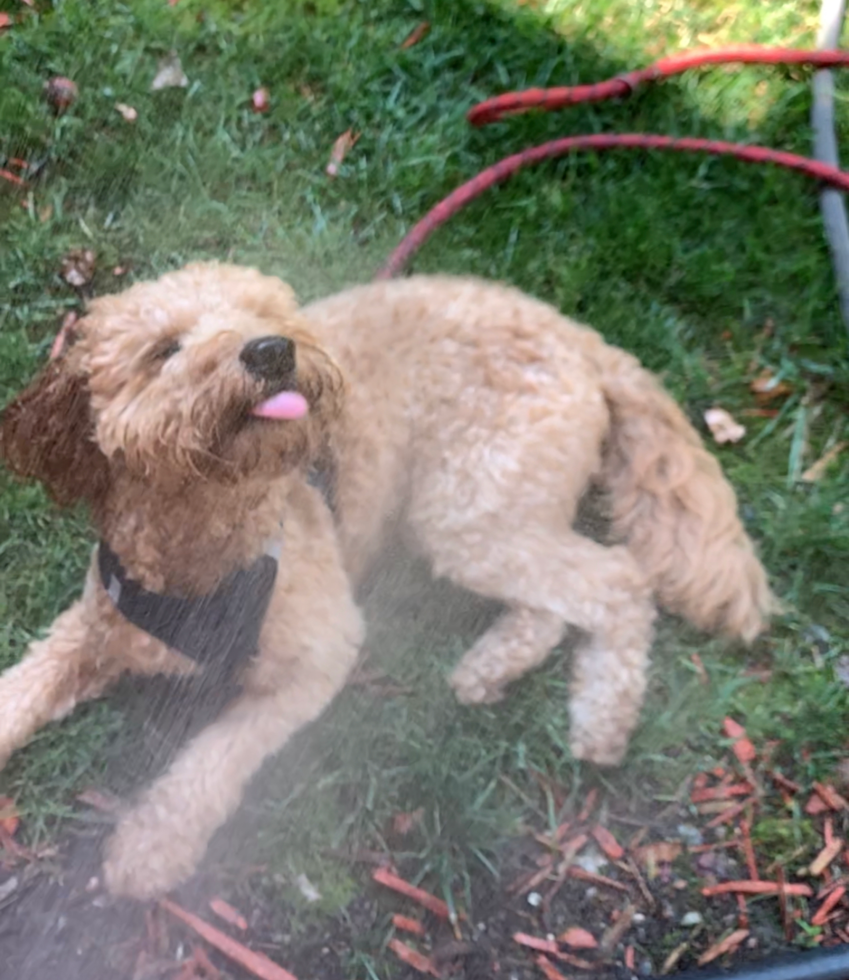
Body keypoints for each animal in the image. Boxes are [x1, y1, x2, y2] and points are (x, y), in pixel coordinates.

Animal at [0, 262, 776, 904]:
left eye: (264, 313)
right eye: (163, 349)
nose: (271, 350)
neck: (208, 545)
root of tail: (574, 332)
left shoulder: (319, 657)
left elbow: (213, 759)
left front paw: (152, 846)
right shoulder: (87, 630)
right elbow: (21, 691)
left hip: (469, 508)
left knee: (614, 580)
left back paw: (600, 722)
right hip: (494, 513)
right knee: (557, 602)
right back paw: (491, 669)